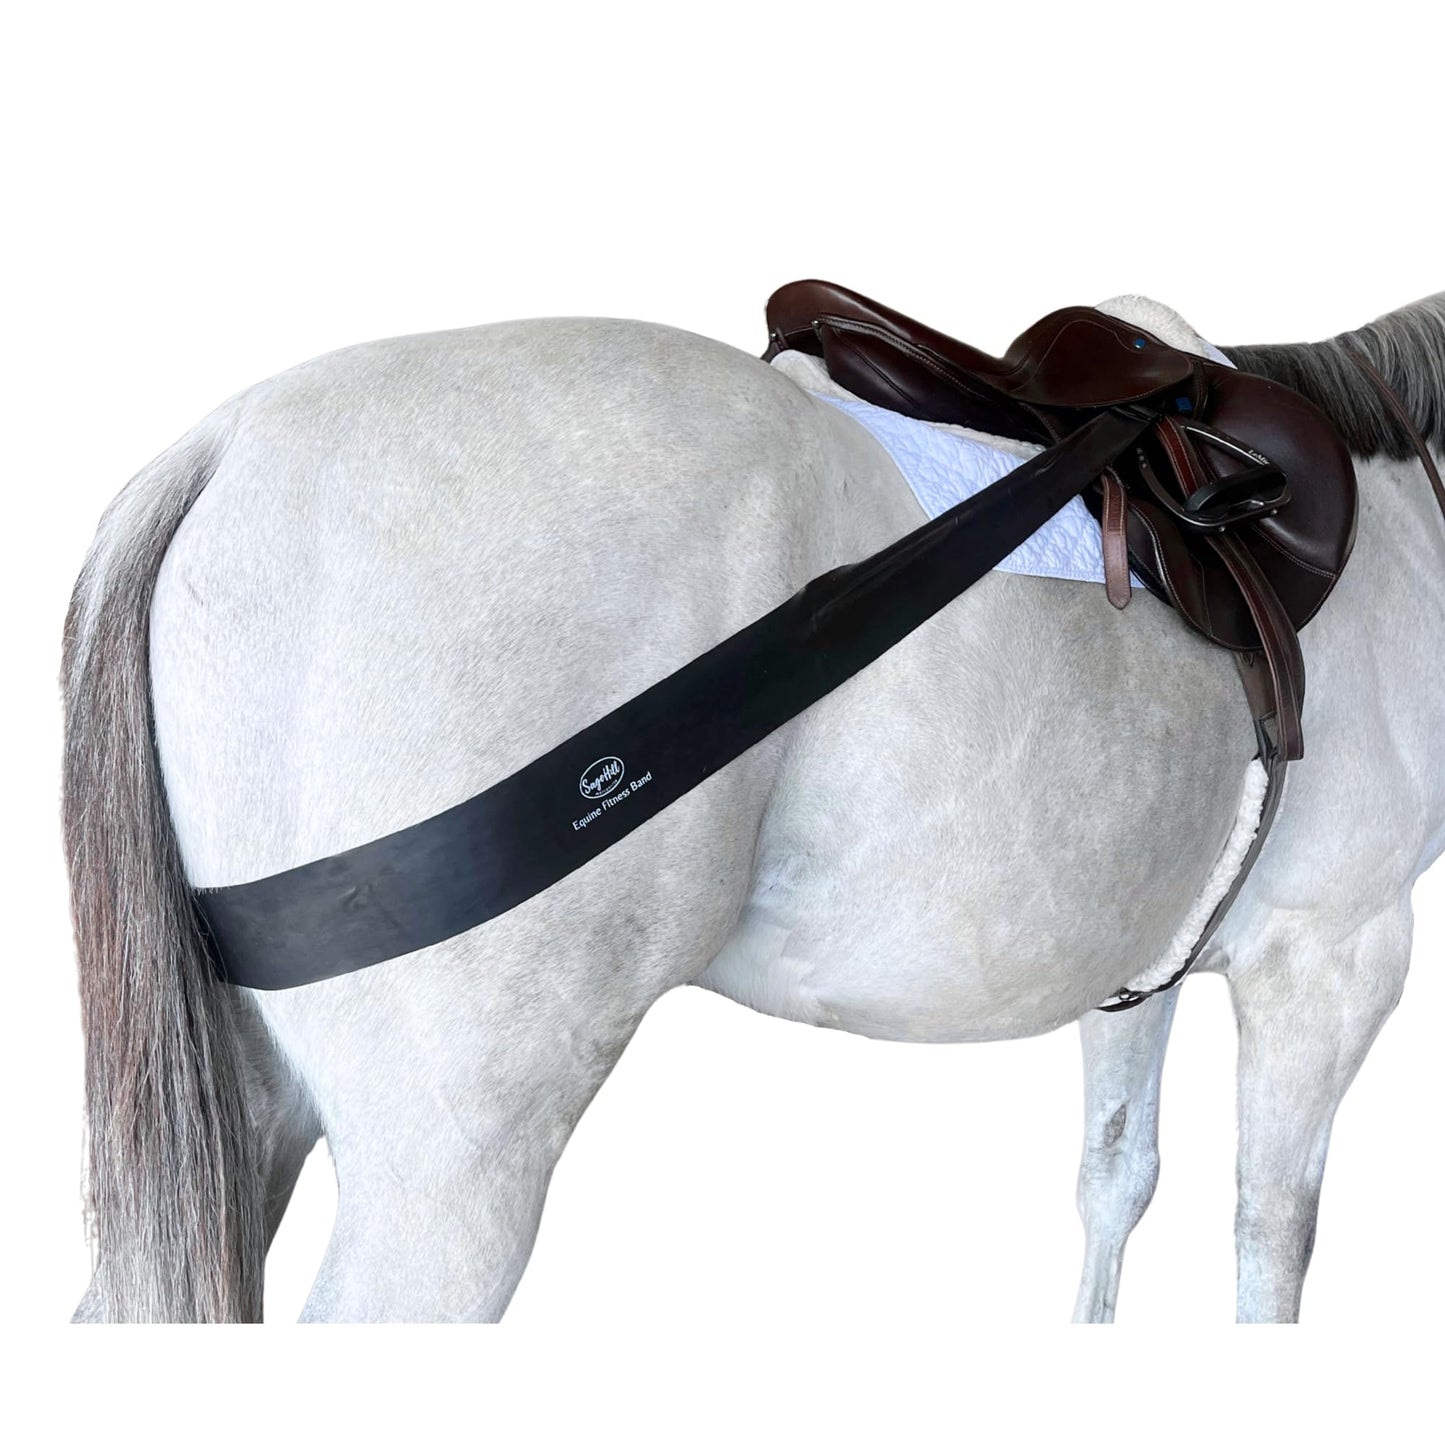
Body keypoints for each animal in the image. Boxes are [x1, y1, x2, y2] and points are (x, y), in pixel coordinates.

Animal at [63, 291, 1445, 1322]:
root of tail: (218, 448)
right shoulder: (1333, 960)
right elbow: (1269, 1235)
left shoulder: (1140, 964)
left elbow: (1116, 1178)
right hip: (447, 1169)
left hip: (248, 1106)